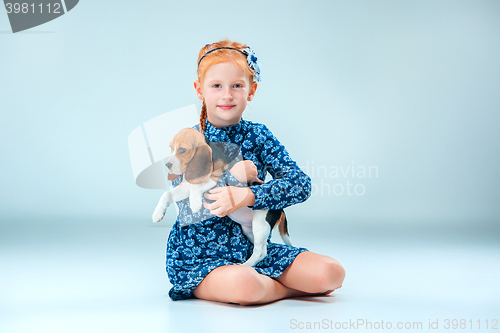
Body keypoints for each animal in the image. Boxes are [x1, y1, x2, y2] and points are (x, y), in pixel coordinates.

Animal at [152, 126, 292, 266]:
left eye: (182, 150)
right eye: (170, 148)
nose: (167, 165)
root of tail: (280, 208)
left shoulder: (216, 179)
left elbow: (196, 186)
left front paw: (195, 203)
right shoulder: (185, 186)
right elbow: (167, 194)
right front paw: (158, 213)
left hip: (260, 224)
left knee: (260, 252)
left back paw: (244, 266)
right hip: (249, 229)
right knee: (264, 249)